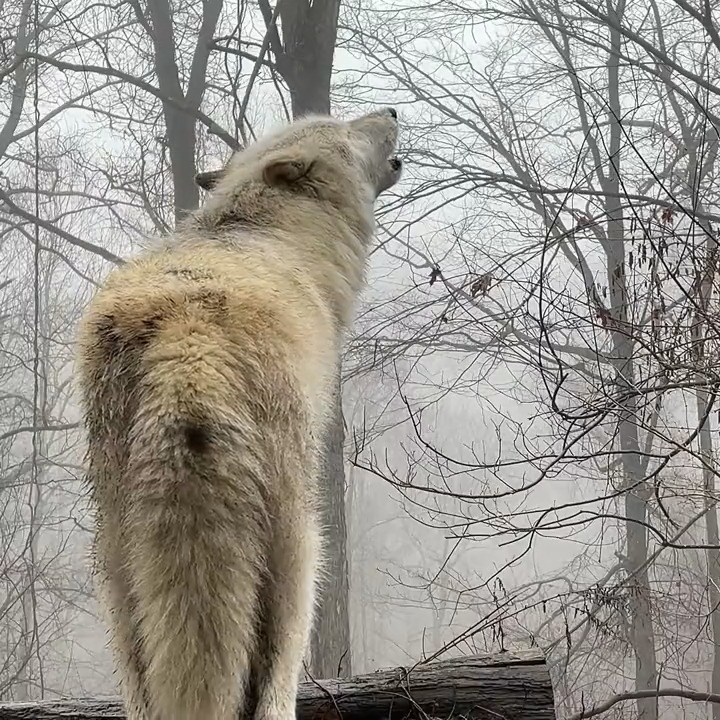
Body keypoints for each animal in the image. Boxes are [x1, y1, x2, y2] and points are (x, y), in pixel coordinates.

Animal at [74, 108, 402, 720]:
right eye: (345, 129)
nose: (391, 110)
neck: (275, 232)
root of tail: (186, 346)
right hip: (301, 548)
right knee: (275, 677)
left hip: (117, 566)